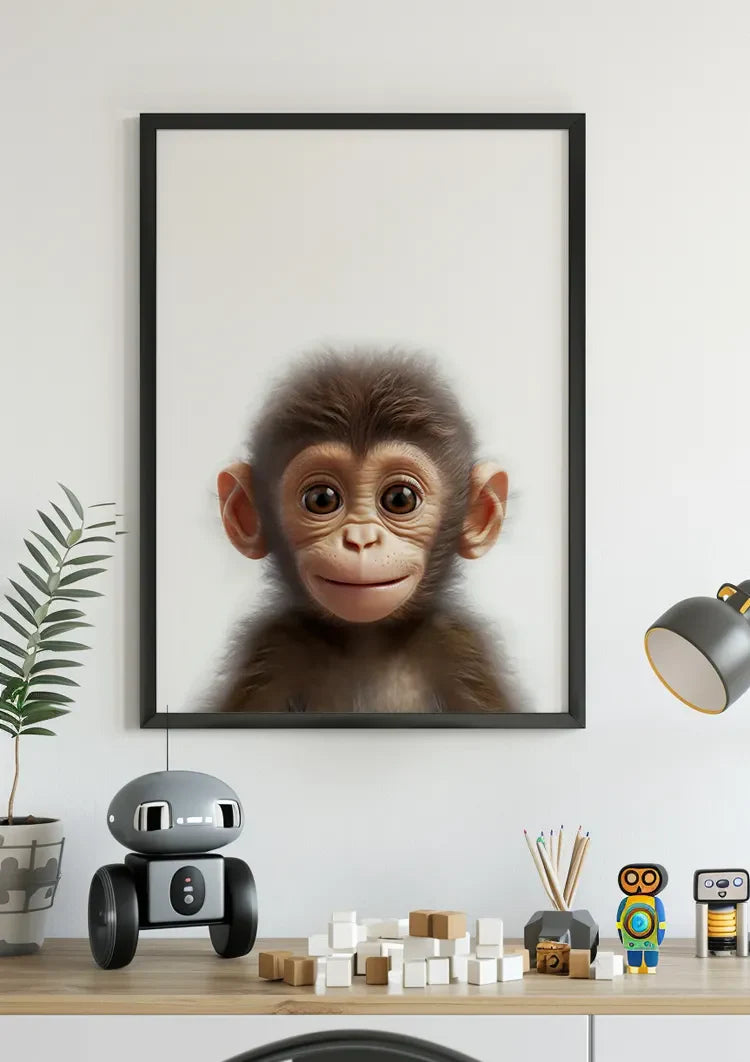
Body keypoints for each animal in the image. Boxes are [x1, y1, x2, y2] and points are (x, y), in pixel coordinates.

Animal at [211, 348, 520, 714]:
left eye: (400, 499)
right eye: (322, 499)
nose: (360, 541)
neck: (367, 642)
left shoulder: (462, 652)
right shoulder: (271, 654)